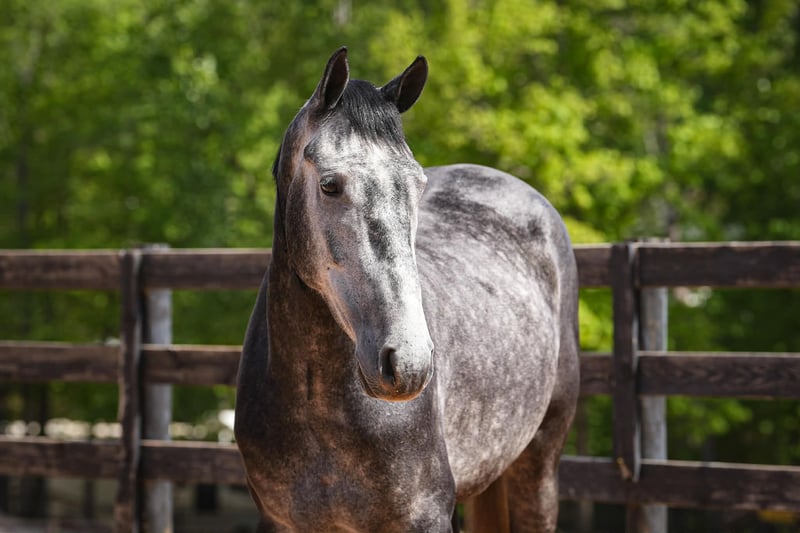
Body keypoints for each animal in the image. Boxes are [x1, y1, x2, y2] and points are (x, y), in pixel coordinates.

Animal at [235, 47, 579, 533]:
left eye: (417, 185)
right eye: (329, 184)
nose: (408, 363)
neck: (318, 406)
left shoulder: (425, 517)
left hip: (539, 465)